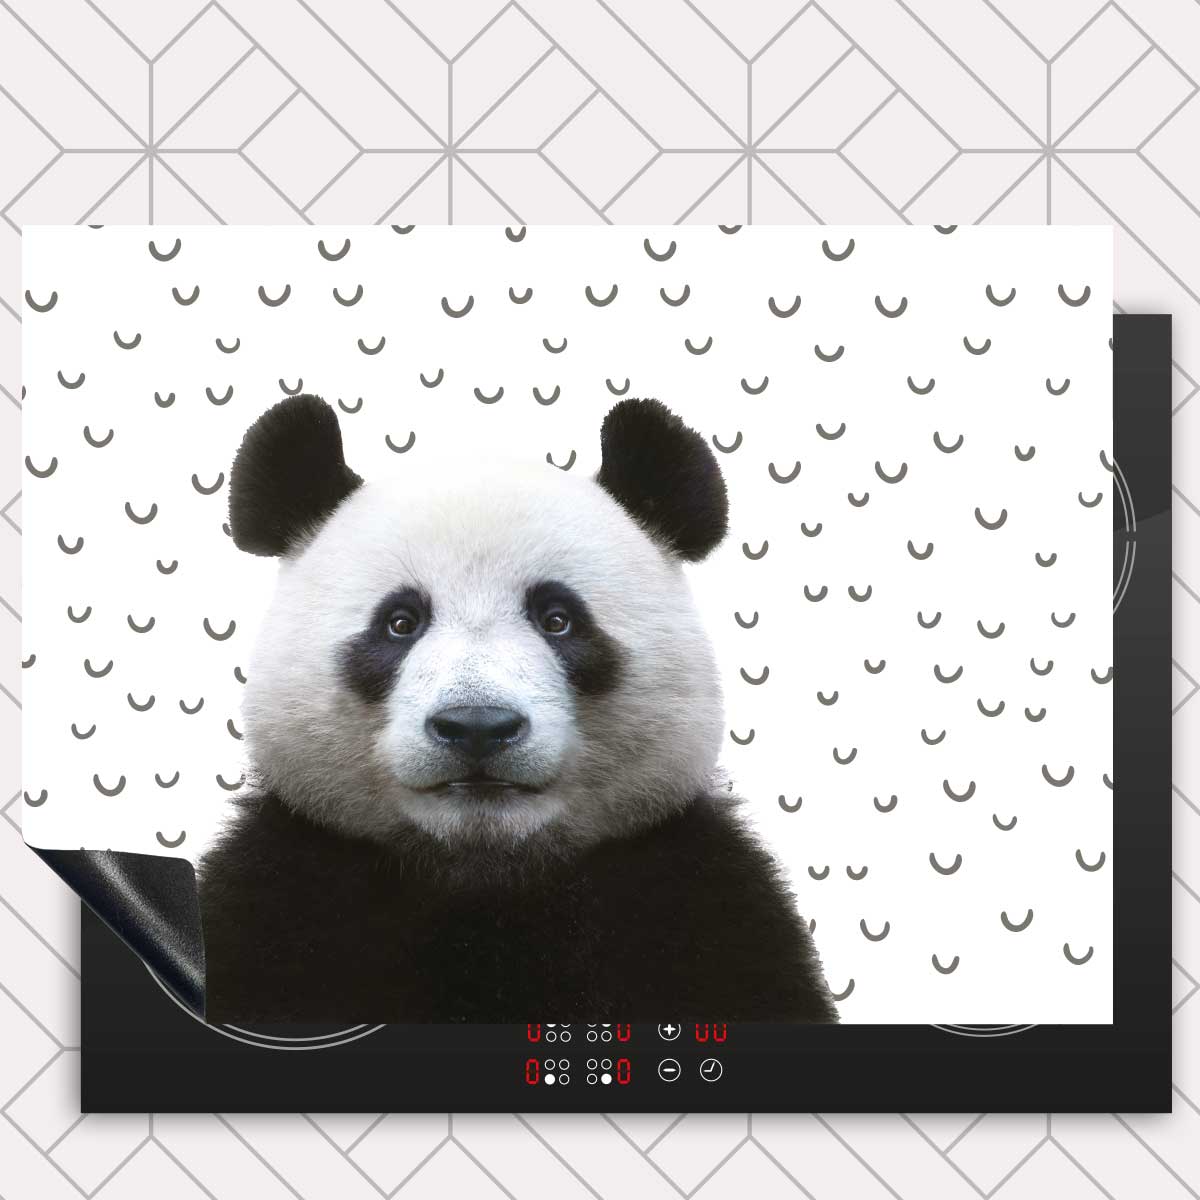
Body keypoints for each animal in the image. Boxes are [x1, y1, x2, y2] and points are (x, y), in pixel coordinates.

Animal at [198, 393, 838, 1024]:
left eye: (558, 619)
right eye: (400, 622)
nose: (477, 727)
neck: (487, 877)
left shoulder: (698, 904)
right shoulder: (281, 899)